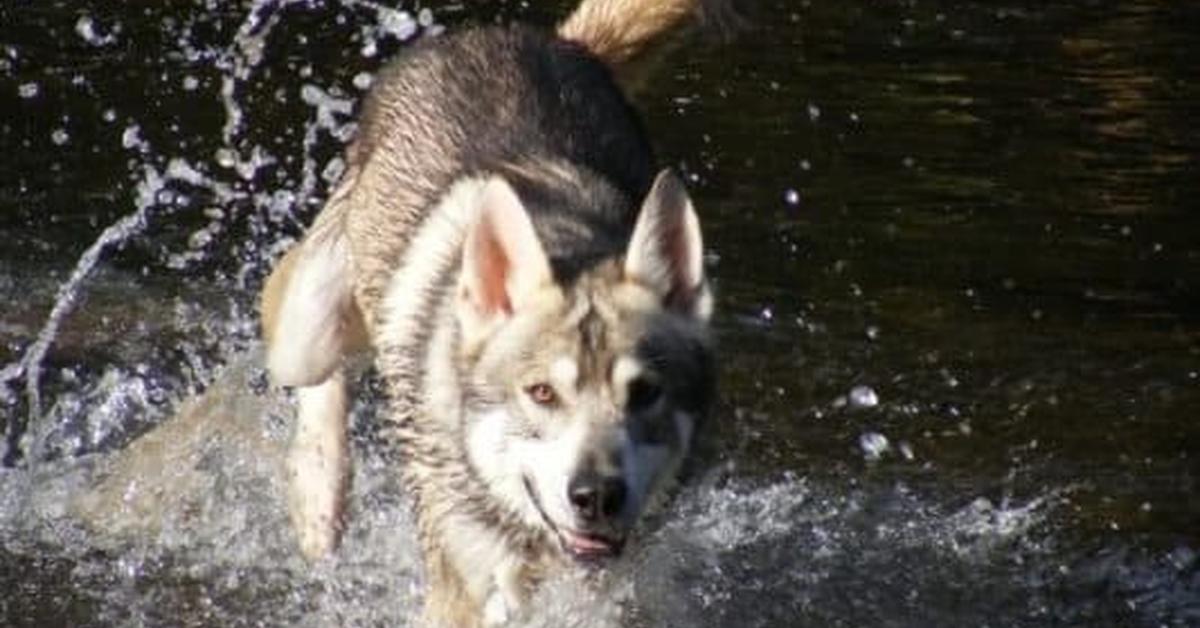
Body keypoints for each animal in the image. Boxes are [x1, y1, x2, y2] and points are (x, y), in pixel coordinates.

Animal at [259, 0, 715, 624]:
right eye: (541, 393)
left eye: (645, 392)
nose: (596, 495)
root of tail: (522, 35)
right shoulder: (458, 591)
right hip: (307, 328)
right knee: (313, 363)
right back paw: (318, 490)